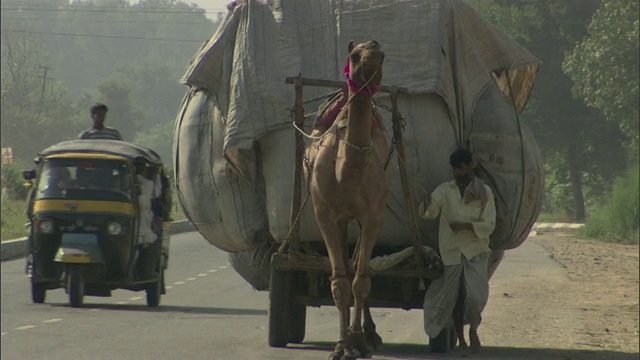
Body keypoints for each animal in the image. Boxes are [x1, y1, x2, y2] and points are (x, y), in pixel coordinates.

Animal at [306, 40, 388, 358]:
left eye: (382, 55)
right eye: (354, 56)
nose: (372, 61)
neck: (347, 173)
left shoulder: (373, 216)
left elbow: (361, 280)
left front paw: (358, 339)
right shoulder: (324, 214)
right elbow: (339, 282)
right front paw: (342, 345)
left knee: (357, 267)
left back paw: (369, 332)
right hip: (340, 219)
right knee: (345, 262)